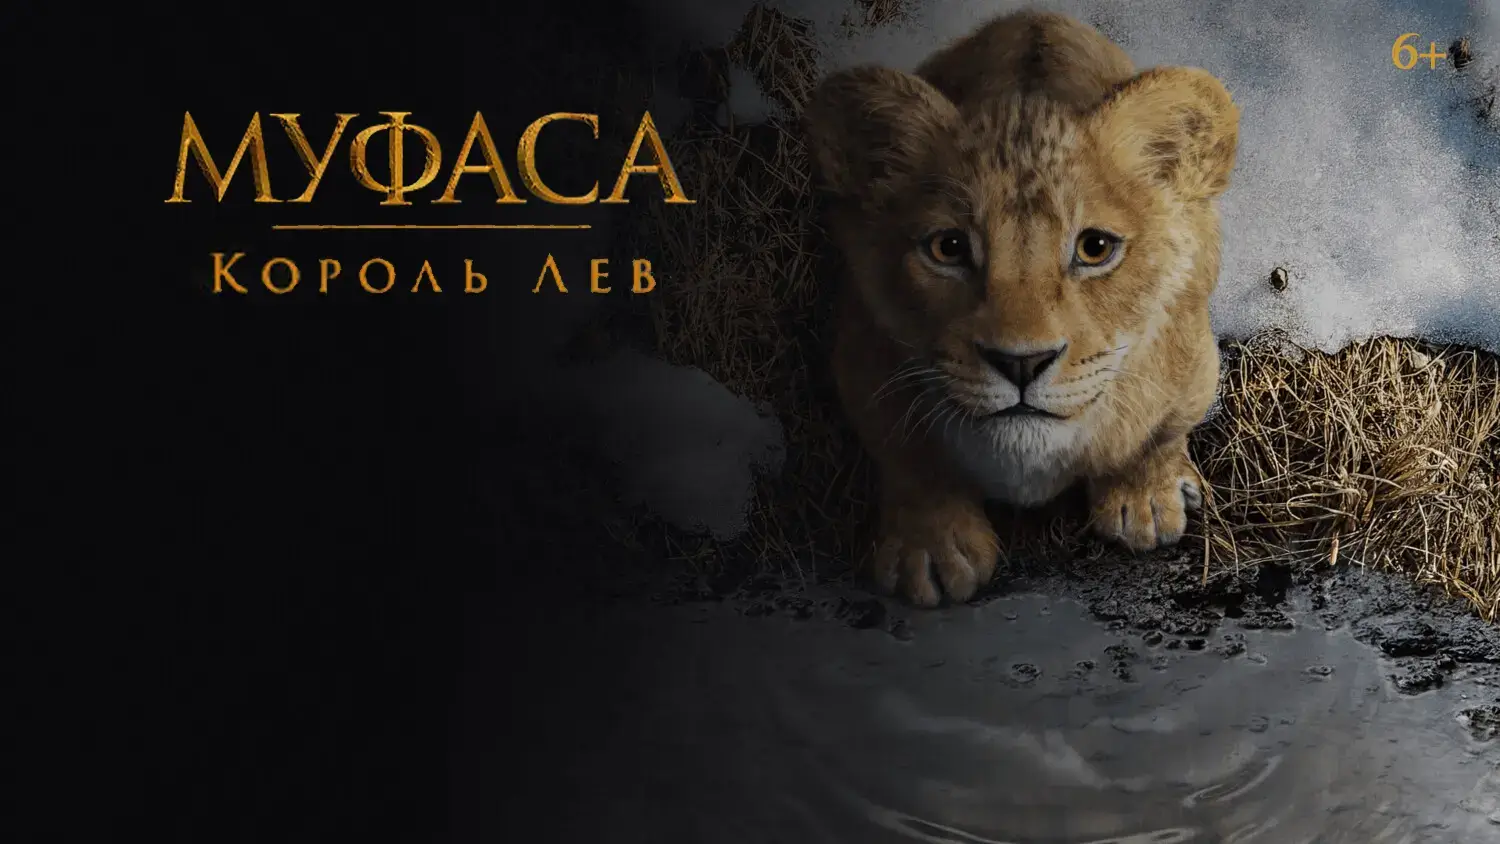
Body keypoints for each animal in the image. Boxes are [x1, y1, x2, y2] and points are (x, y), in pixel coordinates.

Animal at [801, 11, 1240, 607]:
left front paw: (1146, 502)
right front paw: (930, 549)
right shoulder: (862, 357)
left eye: (1095, 248)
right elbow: (909, 459)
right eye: (948, 248)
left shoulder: (1193, 360)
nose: (1021, 363)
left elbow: (1157, 434)